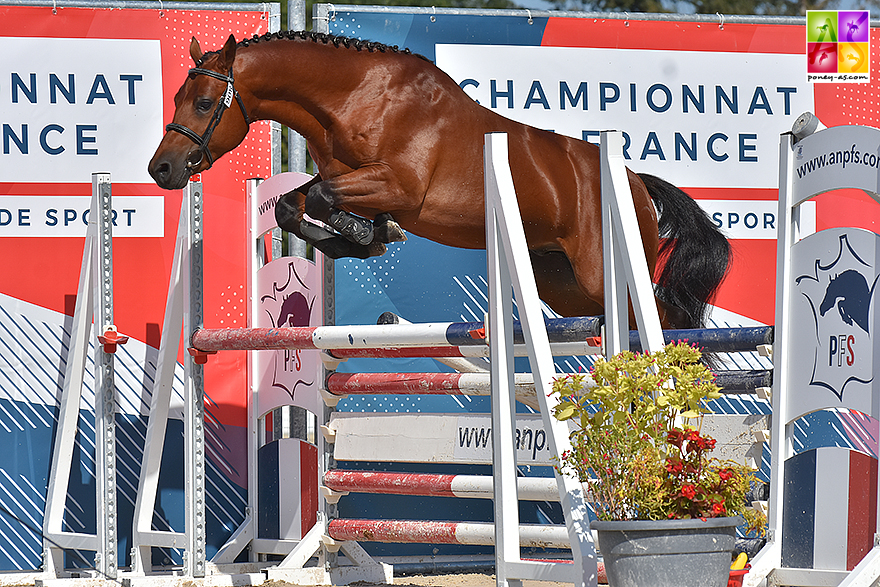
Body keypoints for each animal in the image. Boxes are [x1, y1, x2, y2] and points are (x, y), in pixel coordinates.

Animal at [150, 31, 728, 330]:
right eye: (179, 98)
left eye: (205, 103)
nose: (162, 169)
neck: (354, 96)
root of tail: (636, 180)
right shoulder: (348, 178)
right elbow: (295, 204)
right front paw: (361, 238)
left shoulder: (397, 187)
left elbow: (322, 197)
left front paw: (367, 234)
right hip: (566, 285)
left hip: (604, 271)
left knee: (665, 319)